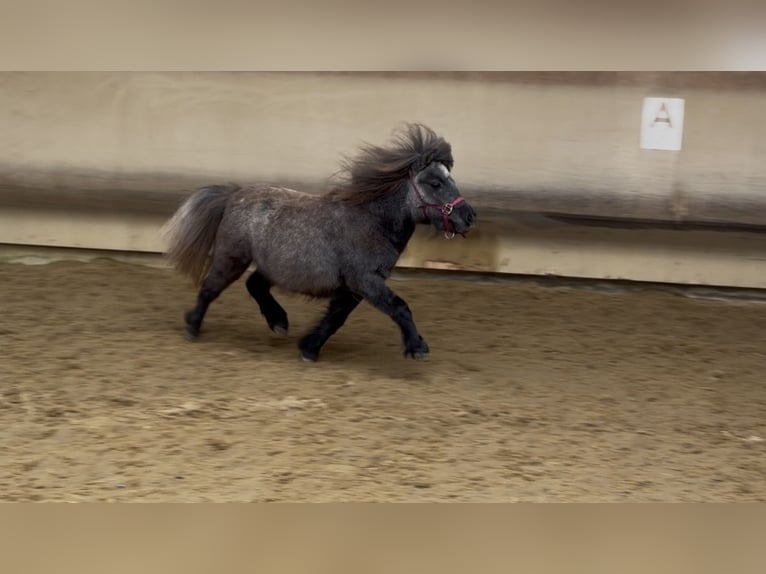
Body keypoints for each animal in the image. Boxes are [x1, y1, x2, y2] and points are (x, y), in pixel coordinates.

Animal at [160, 123, 477, 362]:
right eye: (435, 183)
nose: (469, 216)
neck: (370, 221)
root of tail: (234, 194)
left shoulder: (354, 288)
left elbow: (336, 318)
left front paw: (309, 349)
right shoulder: (365, 281)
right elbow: (400, 307)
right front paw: (417, 348)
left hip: (271, 266)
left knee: (255, 285)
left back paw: (279, 322)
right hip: (231, 258)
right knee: (210, 288)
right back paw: (193, 327)